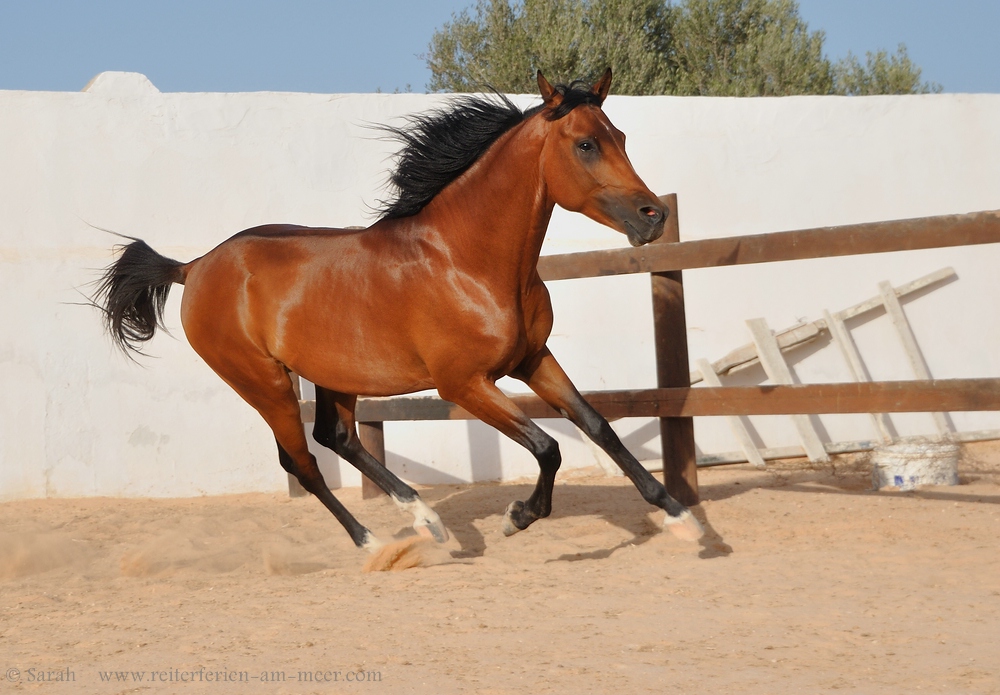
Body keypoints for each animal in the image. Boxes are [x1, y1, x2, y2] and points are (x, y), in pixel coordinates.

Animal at [94, 70, 704, 556]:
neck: (469, 260)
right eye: (585, 144)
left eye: (620, 137)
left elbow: (598, 426)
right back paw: (375, 543)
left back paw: (427, 521)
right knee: (303, 462)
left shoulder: (533, 359)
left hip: (334, 374)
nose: (653, 216)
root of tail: (195, 266)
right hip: (263, 382)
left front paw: (682, 519)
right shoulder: (463, 384)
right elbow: (548, 446)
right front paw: (518, 517)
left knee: (337, 438)